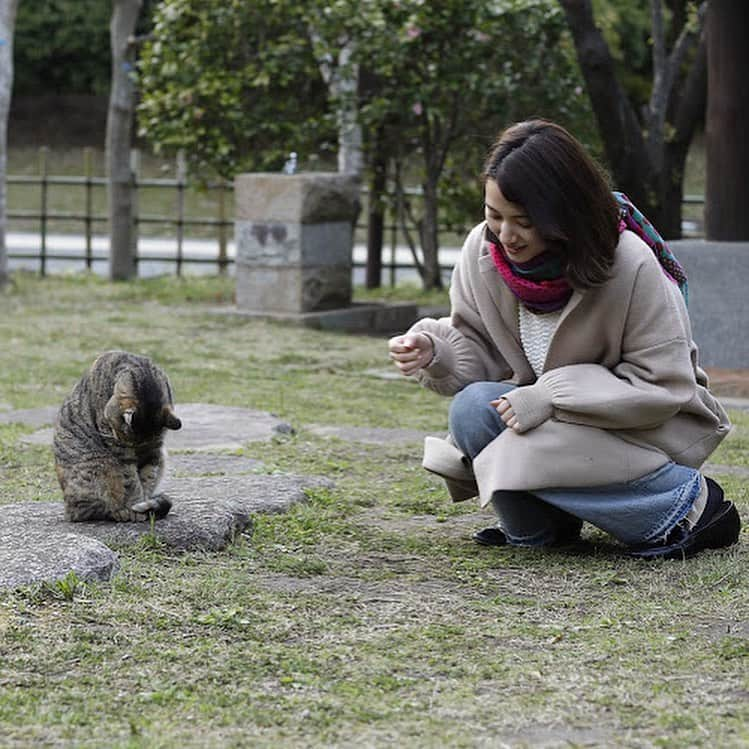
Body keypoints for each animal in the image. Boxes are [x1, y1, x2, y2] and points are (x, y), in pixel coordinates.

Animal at [53, 350, 182, 520]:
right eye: (121, 436)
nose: (115, 437)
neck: (145, 377)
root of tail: (68, 510)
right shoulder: (122, 454)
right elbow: (132, 482)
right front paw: (138, 507)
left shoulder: (153, 451)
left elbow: (147, 478)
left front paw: (145, 503)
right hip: (101, 466)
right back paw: (122, 512)